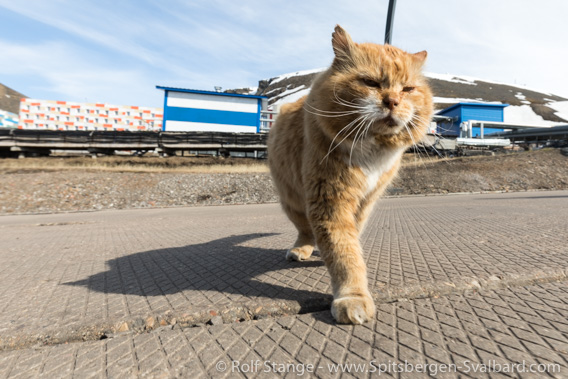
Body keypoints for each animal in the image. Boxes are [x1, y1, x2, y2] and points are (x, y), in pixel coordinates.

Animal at [268, 26, 432, 324]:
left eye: (408, 89)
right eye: (370, 82)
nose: (393, 101)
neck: (373, 152)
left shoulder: (368, 199)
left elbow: (350, 237)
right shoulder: (329, 199)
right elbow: (343, 251)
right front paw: (352, 296)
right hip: (292, 200)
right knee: (304, 230)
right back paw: (301, 249)